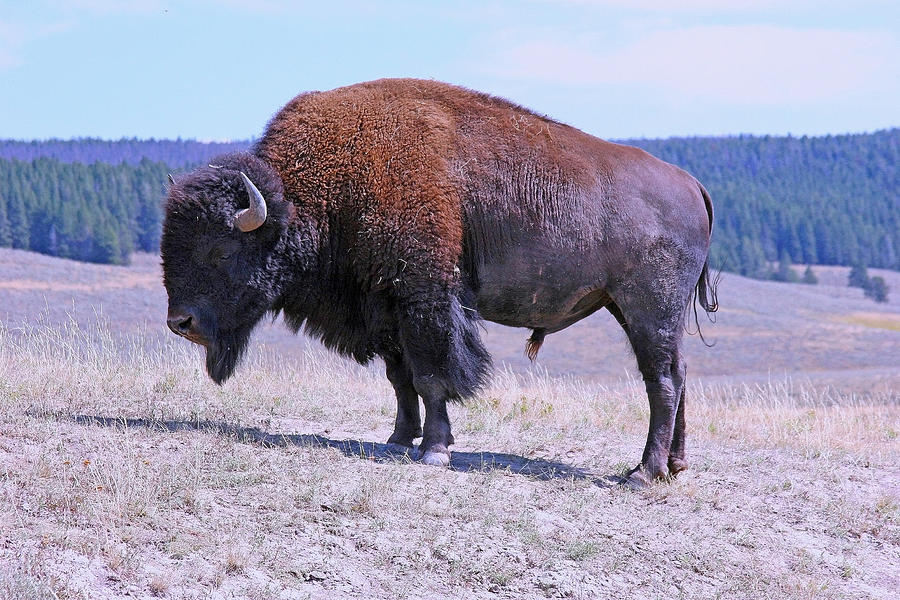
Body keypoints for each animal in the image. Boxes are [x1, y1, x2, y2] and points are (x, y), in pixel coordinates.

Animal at [163, 77, 716, 488]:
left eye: (221, 250)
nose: (179, 322)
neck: (315, 194)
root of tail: (692, 184)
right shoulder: (386, 306)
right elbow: (400, 378)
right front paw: (398, 439)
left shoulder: (424, 299)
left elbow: (431, 375)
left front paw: (433, 451)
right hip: (639, 312)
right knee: (680, 373)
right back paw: (675, 466)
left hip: (647, 309)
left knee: (662, 381)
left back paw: (642, 474)